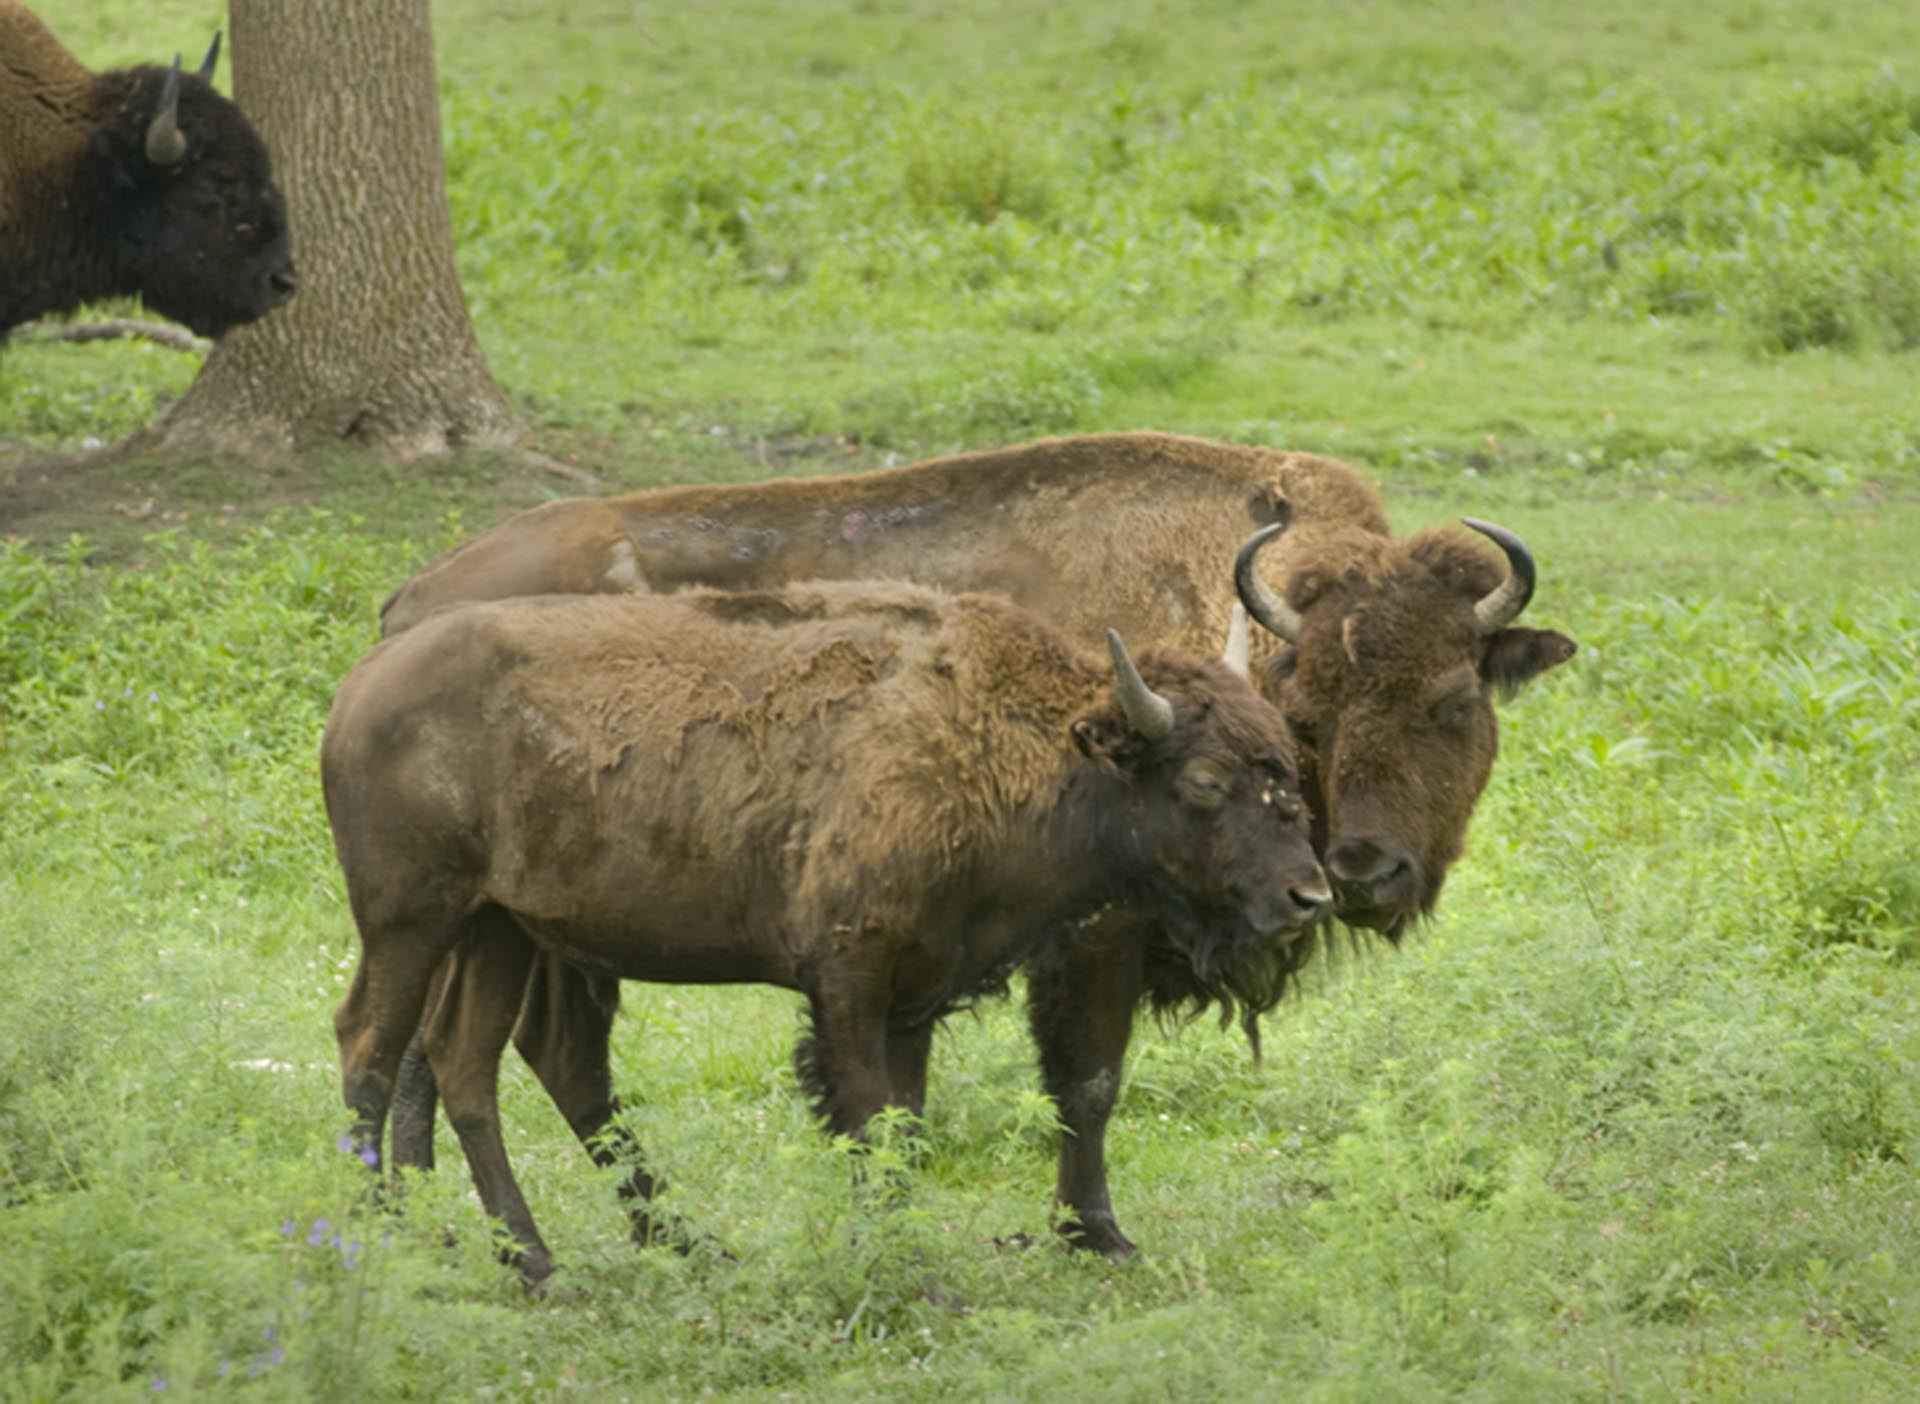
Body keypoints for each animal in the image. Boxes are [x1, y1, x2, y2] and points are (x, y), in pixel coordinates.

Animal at [323, 576, 1330, 1282]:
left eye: (1284, 757)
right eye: (1206, 780)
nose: (1307, 897)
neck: (1002, 741)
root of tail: (360, 686)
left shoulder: (915, 996)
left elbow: (903, 1130)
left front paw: (893, 1253)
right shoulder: (846, 976)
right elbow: (868, 1121)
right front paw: (914, 1275)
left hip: (499, 928)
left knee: (468, 1063)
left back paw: (544, 1262)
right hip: (413, 920)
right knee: (371, 1043)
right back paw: (388, 1242)